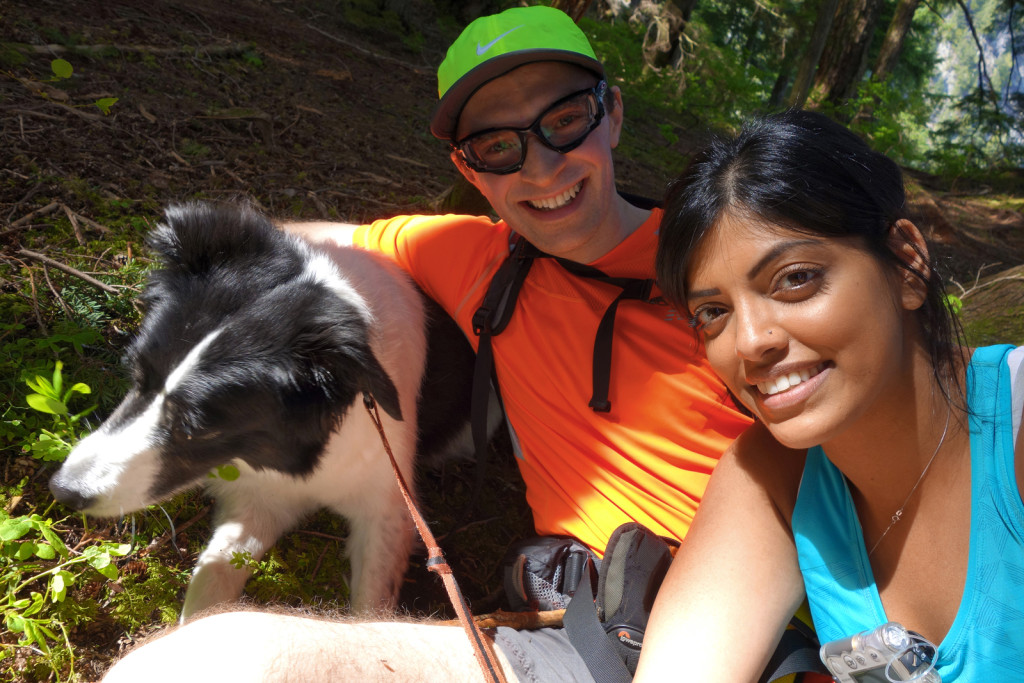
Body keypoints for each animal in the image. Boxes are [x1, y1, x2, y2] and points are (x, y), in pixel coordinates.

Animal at [48, 201, 479, 618]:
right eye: (137, 376)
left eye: (197, 428)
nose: (63, 491)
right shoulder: (261, 498)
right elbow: (213, 583)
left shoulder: (386, 509)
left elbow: (371, 613)